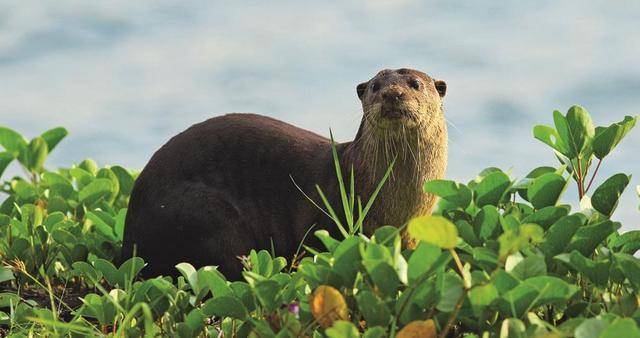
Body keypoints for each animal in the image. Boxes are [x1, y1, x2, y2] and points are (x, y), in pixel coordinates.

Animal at [122, 68, 448, 280]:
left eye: (415, 83)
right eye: (375, 87)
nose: (393, 94)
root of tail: (129, 237)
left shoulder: (411, 238)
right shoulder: (323, 225)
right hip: (204, 215)